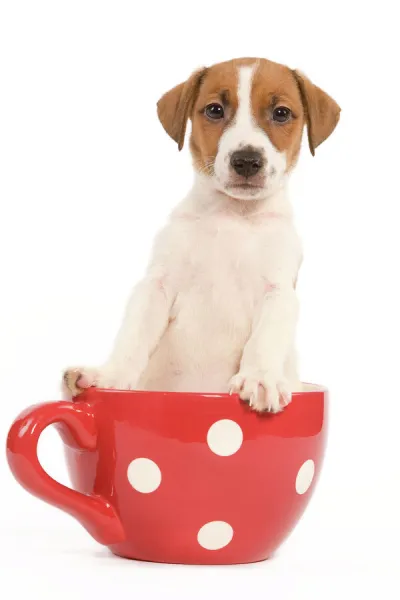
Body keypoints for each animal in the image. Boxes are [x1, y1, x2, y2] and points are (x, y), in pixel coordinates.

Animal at [64, 57, 340, 412]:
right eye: (214, 110)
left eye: (281, 113)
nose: (246, 160)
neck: (233, 215)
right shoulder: (157, 286)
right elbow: (133, 334)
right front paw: (109, 375)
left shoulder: (278, 291)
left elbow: (265, 338)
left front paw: (259, 378)